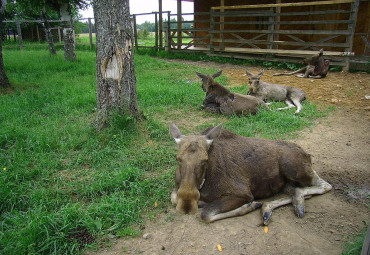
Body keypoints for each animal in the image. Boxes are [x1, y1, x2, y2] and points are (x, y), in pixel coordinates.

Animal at [169, 123, 330, 225]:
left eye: (205, 160)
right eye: (178, 158)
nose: (187, 205)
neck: (204, 183)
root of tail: (306, 154)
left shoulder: (243, 193)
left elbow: (206, 214)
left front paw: (248, 206)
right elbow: (174, 197)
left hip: (293, 168)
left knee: (324, 184)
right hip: (283, 182)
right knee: (295, 189)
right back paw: (271, 207)